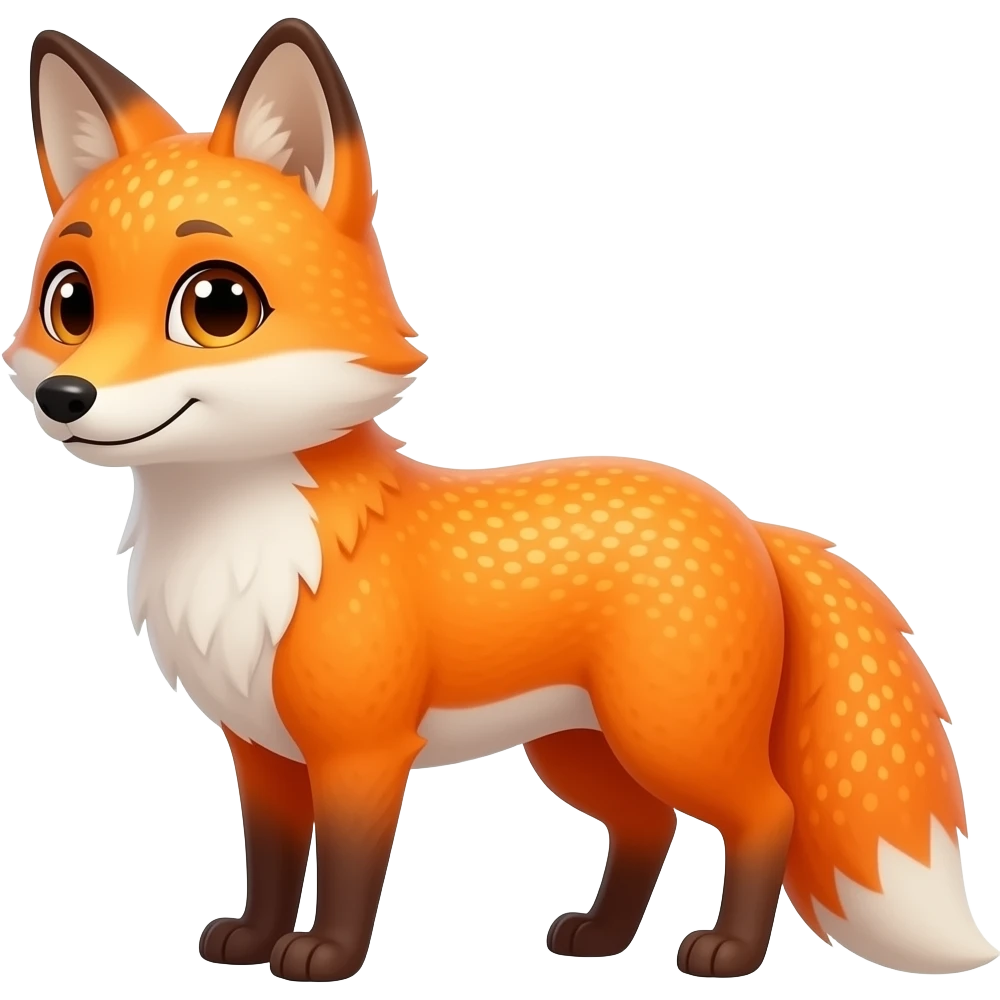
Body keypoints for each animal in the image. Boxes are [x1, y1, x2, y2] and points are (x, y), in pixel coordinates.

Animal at [6, 17, 997, 984]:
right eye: (70, 303)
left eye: (216, 306)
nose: (66, 397)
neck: (241, 546)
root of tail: (749, 523)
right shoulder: (262, 753)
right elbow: (274, 860)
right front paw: (252, 939)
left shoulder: (363, 751)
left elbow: (350, 866)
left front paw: (325, 956)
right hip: (579, 748)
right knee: (647, 827)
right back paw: (601, 937)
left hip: (671, 736)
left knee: (767, 815)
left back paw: (728, 954)